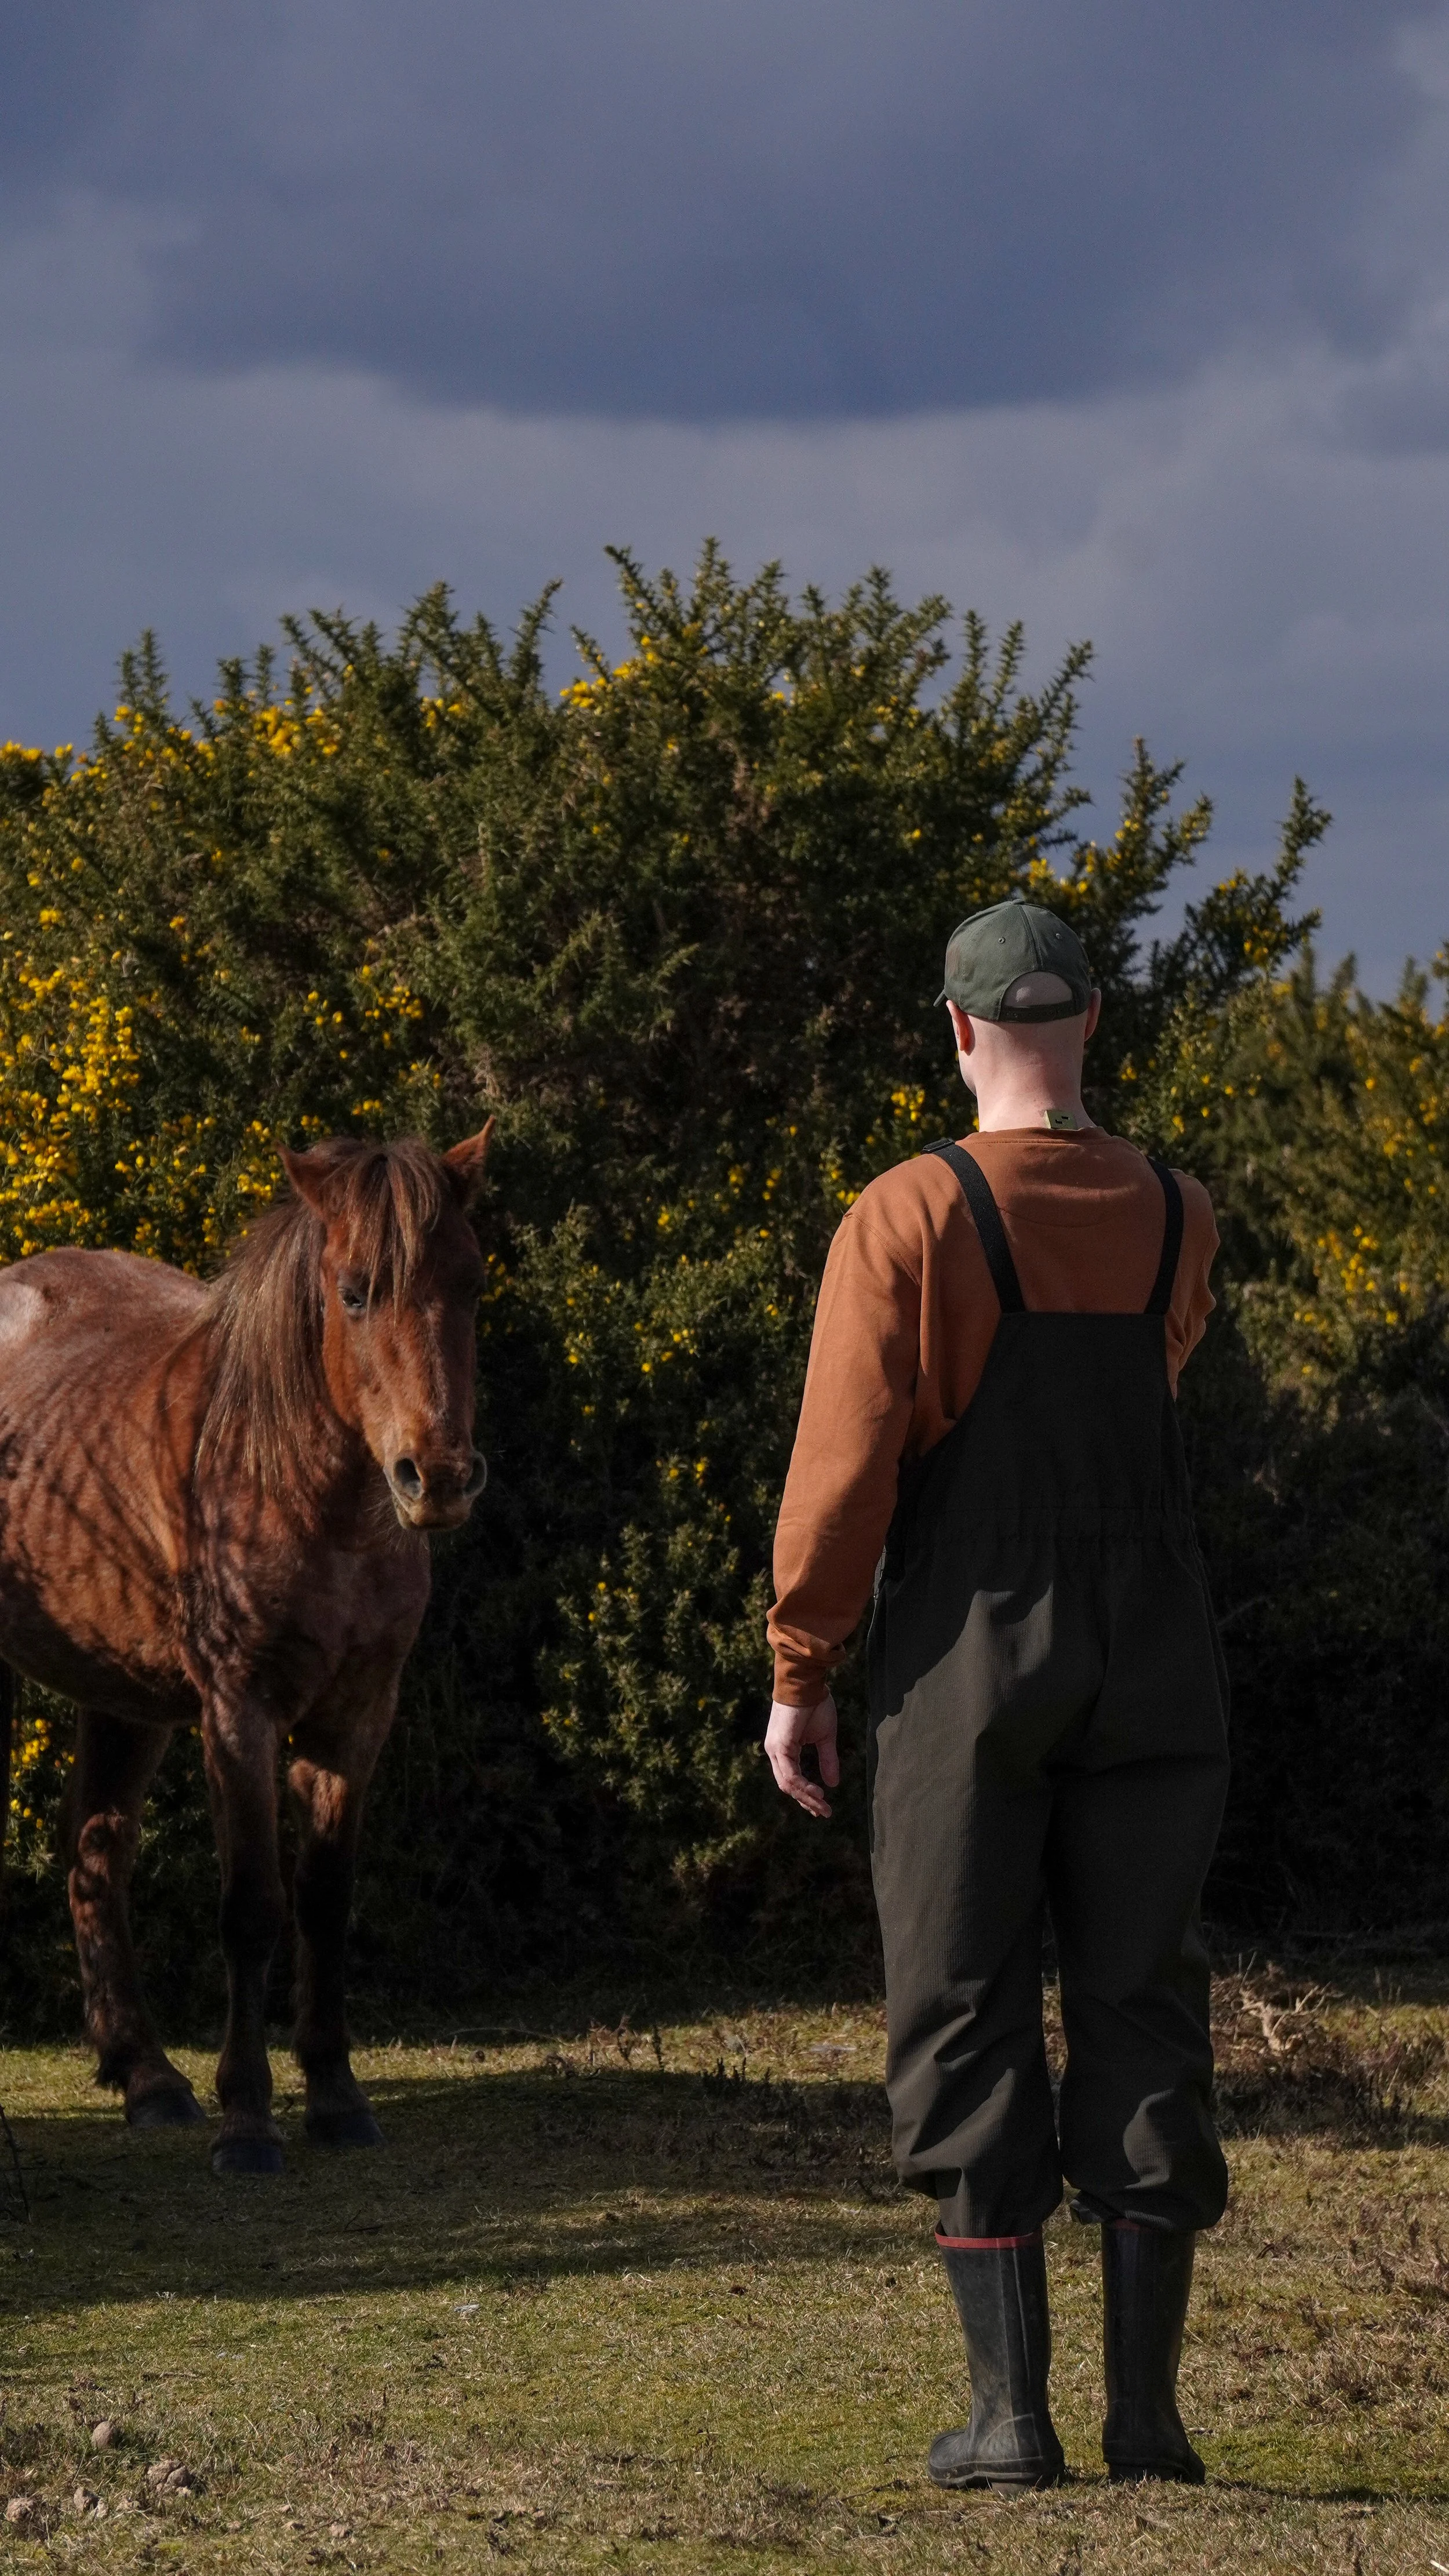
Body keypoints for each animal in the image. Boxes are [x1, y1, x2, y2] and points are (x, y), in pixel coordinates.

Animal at [0, 1125, 492, 2174]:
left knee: (96, 1850)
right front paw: (248, 2118)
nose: (436, 1476)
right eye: (355, 1289)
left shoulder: (355, 1719)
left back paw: (147, 2076)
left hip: (123, 1692)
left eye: (471, 1282)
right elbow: (253, 1906)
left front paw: (338, 2096)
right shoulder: (239, 1712)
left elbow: (325, 1901)